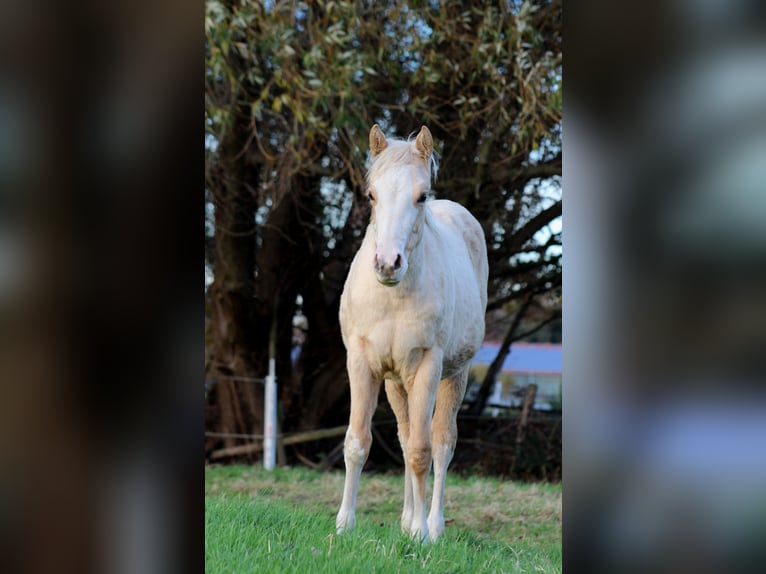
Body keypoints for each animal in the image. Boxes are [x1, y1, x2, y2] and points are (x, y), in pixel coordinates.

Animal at [335, 124, 488, 542]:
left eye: (421, 196)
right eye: (371, 195)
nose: (388, 263)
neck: (393, 297)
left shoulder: (427, 367)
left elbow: (422, 451)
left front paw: (420, 533)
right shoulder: (363, 364)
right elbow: (358, 442)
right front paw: (344, 524)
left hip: (453, 375)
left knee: (441, 443)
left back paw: (432, 524)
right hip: (395, 382)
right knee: (404, 438)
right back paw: (406, 517)